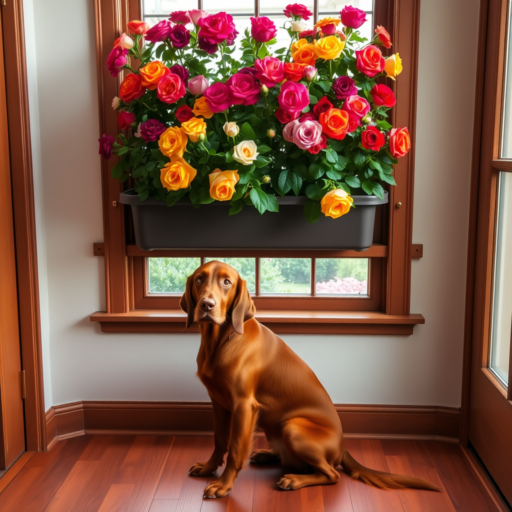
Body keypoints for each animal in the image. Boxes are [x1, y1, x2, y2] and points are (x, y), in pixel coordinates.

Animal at [179, 262, 436, 498]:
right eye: (200, 279)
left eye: (227, 282)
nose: (206, 305)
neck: (222, 340)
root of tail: (342, 448)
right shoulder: (218, 402)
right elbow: (220, 440)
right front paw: (209, 467)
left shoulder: (243, 405)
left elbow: (234, 449)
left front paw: (223, 485)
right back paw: (267, 453)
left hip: (293, 428)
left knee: (331, 474)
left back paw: (294, 479)